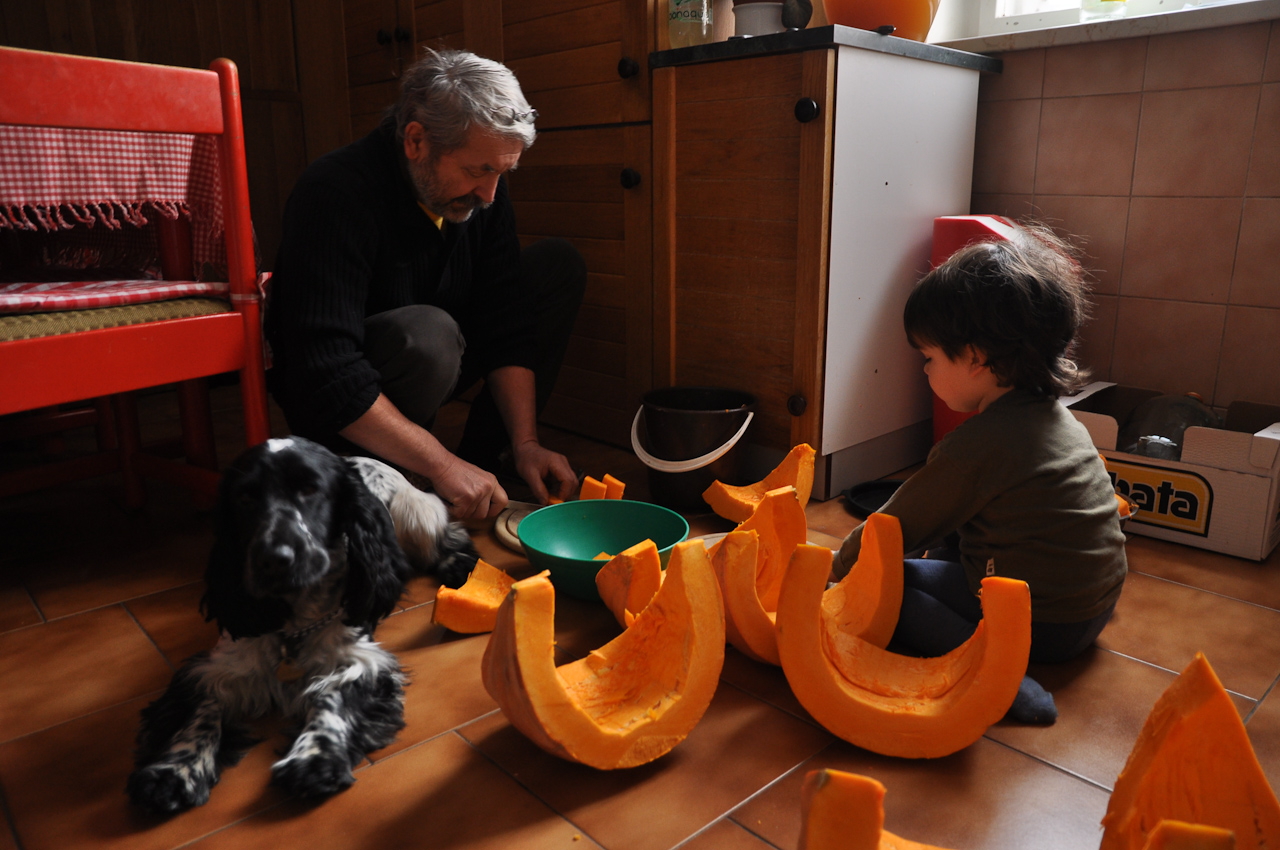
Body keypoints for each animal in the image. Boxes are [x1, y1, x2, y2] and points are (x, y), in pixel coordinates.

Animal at [126, 436, 477, 814]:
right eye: (245, 498)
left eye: (310, 489)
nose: (274, 559)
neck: (293, 625)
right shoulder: (216, 666)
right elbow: (201, 712)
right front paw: (175, 771)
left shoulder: (362, 660)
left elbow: (332, 699)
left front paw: (315, 758)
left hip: (417, 513)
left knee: (448, 538)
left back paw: (458, 567)